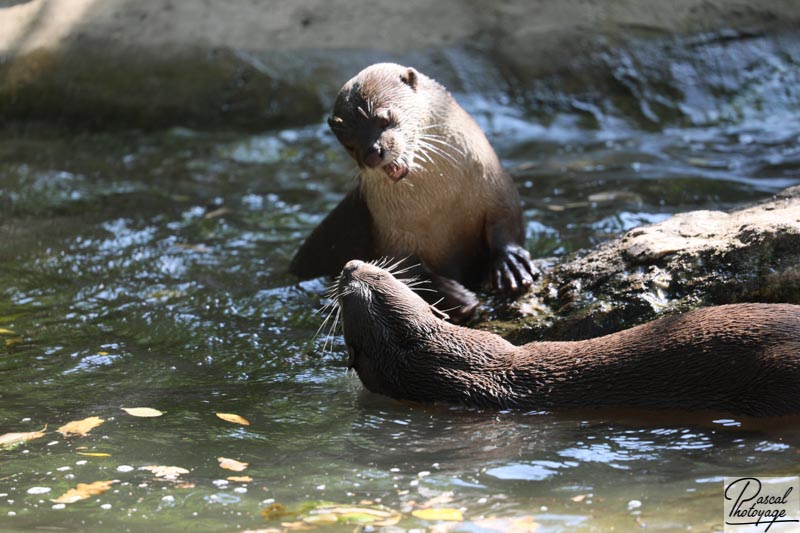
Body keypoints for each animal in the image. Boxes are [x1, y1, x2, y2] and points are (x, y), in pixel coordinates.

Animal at [290, 63, 536, 320]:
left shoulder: (496, 184)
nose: (371, 154)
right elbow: (406, 270)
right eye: (348, 143)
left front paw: (511, 266)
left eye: (384, 119)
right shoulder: (391, 235)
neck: (440, 204)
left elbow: (507, 221)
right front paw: (457, 297)